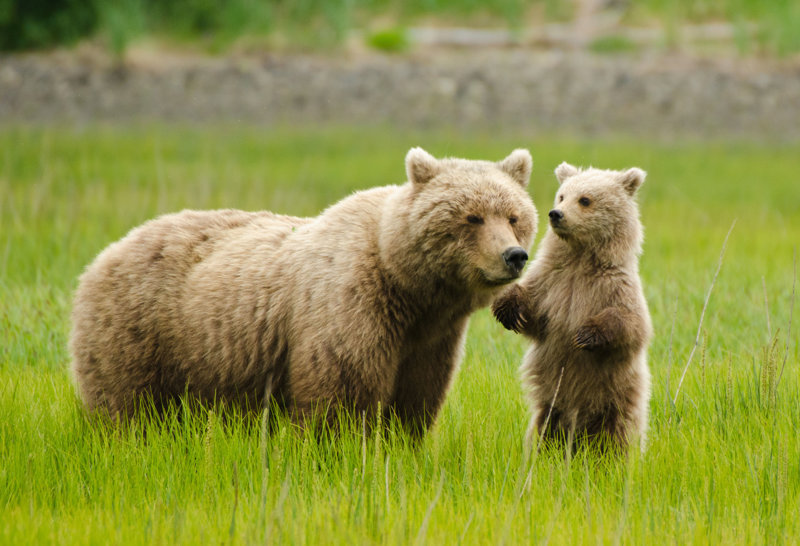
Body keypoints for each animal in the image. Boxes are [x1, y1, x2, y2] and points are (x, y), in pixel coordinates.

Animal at [70, 147, 538, 436]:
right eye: (472, 217)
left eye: (514, 216)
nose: (514, 255)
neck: (410, 287)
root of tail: (104, 253)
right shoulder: (352, 306)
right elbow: (341, 394)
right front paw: (342, 450)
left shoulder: (429, 340)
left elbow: (415, 400)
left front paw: (398, 446)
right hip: (140, 329)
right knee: (126, 405)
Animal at [492, 162, 652, 453]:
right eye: (562, 196)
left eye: (585, 199)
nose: (556, 214)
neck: (581, 258)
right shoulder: (553, 283)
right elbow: (533, 308)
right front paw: (511, 311)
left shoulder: (615, 287)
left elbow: (631, 326)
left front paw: (585, 334)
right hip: (550, 404)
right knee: (544, 430)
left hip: (619, 396)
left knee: (619, 434)